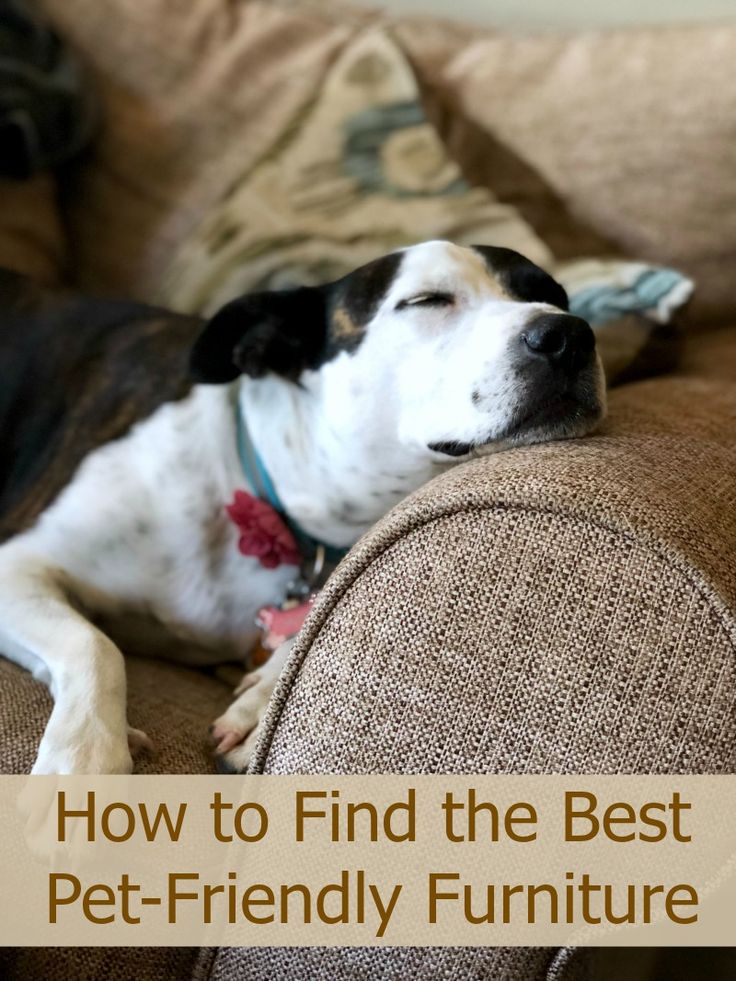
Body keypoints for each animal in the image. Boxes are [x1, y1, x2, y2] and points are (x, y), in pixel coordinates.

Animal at [0, 239, 604, 772]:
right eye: (427, 300)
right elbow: (96, 645)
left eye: (557, 296)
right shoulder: (16, 565)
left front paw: (262, 700)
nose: (570, 334)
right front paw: (86, 758)